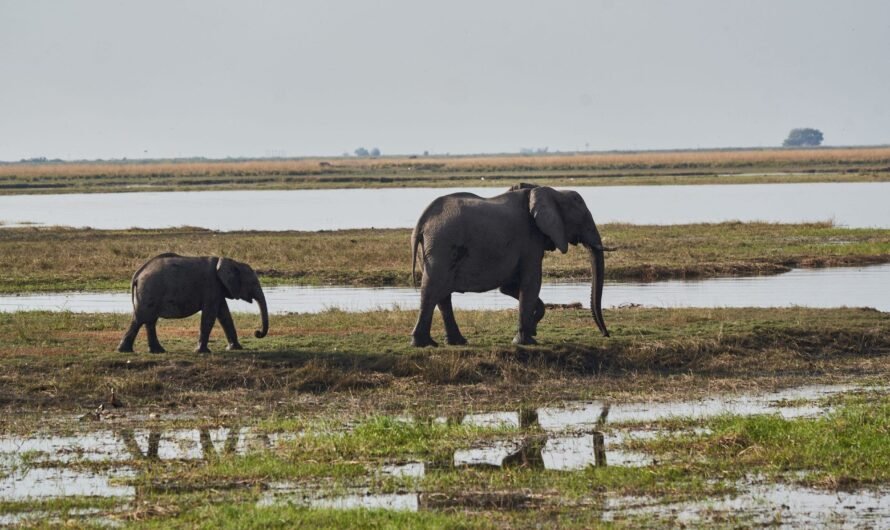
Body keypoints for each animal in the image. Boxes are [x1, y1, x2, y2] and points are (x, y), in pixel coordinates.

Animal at [119, 253, 270, 352]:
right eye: (253, 283)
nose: (257, 332)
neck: (231, 262)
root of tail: (137, 274)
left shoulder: (218, 289)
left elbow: (224, 315)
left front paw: (236, 348)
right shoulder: (211, 285)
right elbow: (210, 315)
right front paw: (202, 352)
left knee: (148, 320)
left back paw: (157, 351)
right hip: (150, 290)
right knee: (141, 318)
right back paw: (125, 350)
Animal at [412, 183, 608, 346]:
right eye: (584, 220)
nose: (606, 334)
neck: (551, 191)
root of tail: (422, 221)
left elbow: (509, 288)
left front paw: (532, 329)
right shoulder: (530, 240)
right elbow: (531, 283)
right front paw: (527, 341)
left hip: (431, 250)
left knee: (442, 295)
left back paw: (455, 342)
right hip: (441, 245)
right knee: (432, 290)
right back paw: (423, 344)